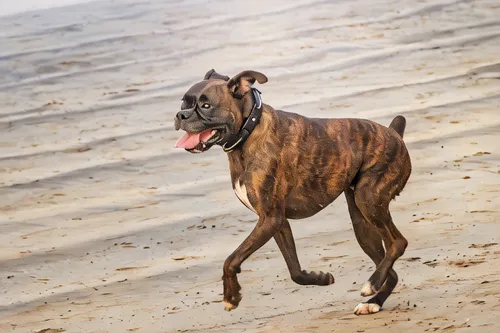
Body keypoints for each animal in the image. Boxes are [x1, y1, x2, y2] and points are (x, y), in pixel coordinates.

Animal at [174, 68, 412, 314]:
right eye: (183, 102)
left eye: (206, 106)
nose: (181, 115)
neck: (249, 132)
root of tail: (394, 134)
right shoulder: (277, 222)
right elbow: (295, 271)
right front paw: (321, 278)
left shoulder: (270, 219)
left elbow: (231, 259)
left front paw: (231, 296)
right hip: (362, 225)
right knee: (391, 267)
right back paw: (374, 300)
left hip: (368, 200)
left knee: (398, 243)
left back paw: (371, 285)